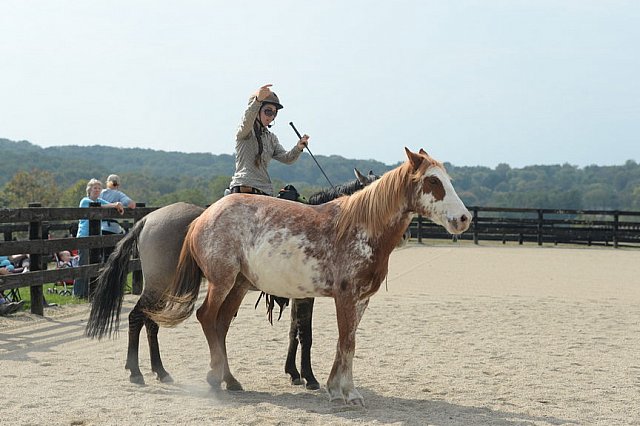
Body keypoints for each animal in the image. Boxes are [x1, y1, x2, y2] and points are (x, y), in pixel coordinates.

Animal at [87, 169, 382, 386]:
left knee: (151, 322)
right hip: (161, 285)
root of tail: (147, 220)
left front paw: (294, 373)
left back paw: (160, 371)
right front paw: (308, 377)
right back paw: (137, 372)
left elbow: (293, 333)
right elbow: (304, 335)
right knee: (137, 317)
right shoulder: (305, 296)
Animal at [149, 148, 470, 404]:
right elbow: (343, 341)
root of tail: (202, 217)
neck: (360, 227)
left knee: (221, 323)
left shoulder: (360, 299)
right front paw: (346, 393)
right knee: (206, 317)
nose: (464, 218)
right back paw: (213, 379)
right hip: (221, 282)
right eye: (433, 181)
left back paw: (230, 380)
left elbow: (345, 341)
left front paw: (335, 388)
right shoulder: (343, 296)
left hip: (238, 285)